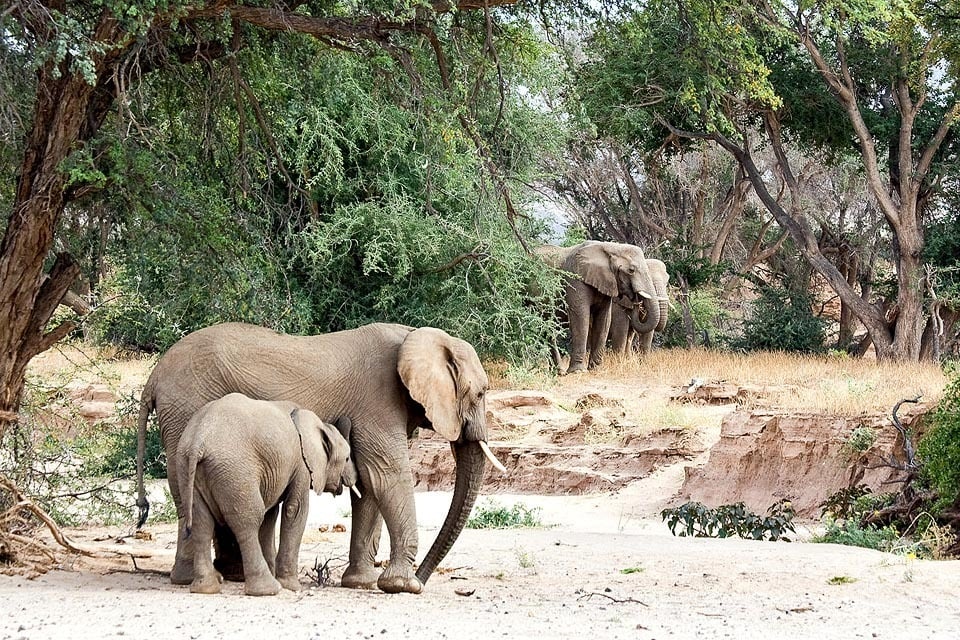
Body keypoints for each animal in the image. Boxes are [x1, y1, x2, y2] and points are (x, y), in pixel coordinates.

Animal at [177, 394, 357, 596]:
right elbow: (295, 510)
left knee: (201, 522)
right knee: (248, 521)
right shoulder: (302, 464)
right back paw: (267, 589)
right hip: (235, 471)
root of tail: (198, 441)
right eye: (347, 458)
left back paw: (206, 588)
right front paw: (291, 587)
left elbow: (270, 515)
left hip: (186, 467)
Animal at [535, 241, 661, 373]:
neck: (611, 247)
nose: (637, 301)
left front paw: (595, 369)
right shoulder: (576, 280)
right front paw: (579, 371)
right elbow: (581, 317)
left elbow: (604, 319)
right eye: (631, 270)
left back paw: (558, 371)